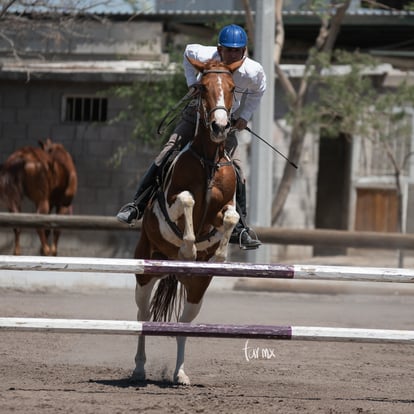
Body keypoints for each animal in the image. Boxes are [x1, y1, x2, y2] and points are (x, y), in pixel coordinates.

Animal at [133, 57, 244, 384]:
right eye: (202, 88)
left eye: (232, 88)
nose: (220, 126)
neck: (207, 161)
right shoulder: (170, 204)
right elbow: (187, 200)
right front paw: (188, 249)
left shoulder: (224, 208)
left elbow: (231, 216)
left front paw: (218, 255)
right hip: (146, 270)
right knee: (143, 317)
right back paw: (139, 368)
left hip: (196, 287)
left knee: (184, 323)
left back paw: (180, 374)